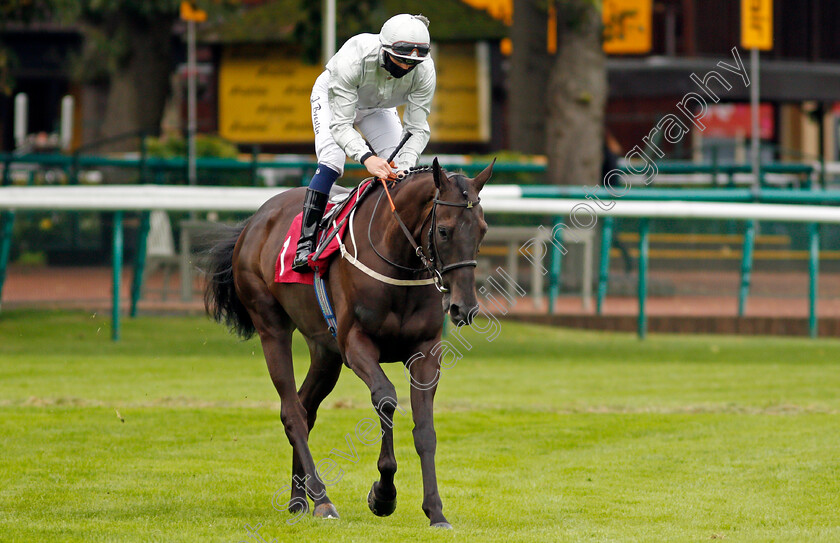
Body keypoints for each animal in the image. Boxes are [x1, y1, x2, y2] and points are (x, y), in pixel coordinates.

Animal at [203, 157, 492, 528]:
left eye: (482, 229)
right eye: (443, 230)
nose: (463, 307)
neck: (399, 264)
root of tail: (254, 221)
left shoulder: (426, 351)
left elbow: (425, 429)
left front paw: (435, 511)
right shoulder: (356, 344)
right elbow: (386, 399)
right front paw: (383, 495)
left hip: (325, 352)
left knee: (305, 407)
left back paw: (299, 499)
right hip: (271, 326)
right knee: (292, 411)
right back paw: (322, 499)